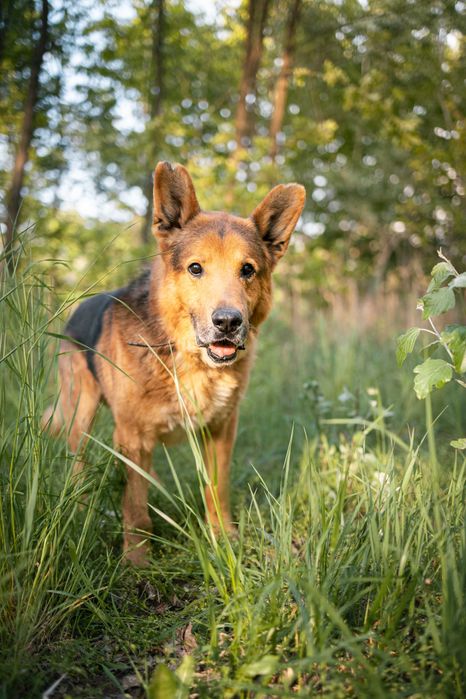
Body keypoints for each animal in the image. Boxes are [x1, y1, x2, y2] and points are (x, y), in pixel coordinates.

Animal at [45, 161, 304, 568]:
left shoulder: (221, 431)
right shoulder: (132, 435)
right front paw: (137, 560)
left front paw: (223, 538)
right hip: (80, 414)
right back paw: (81, 504)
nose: (227, 323)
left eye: (247, 270)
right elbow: (135, 506)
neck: (190, 360)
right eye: (195, 268)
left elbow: (217, 489)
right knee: (79, 464)